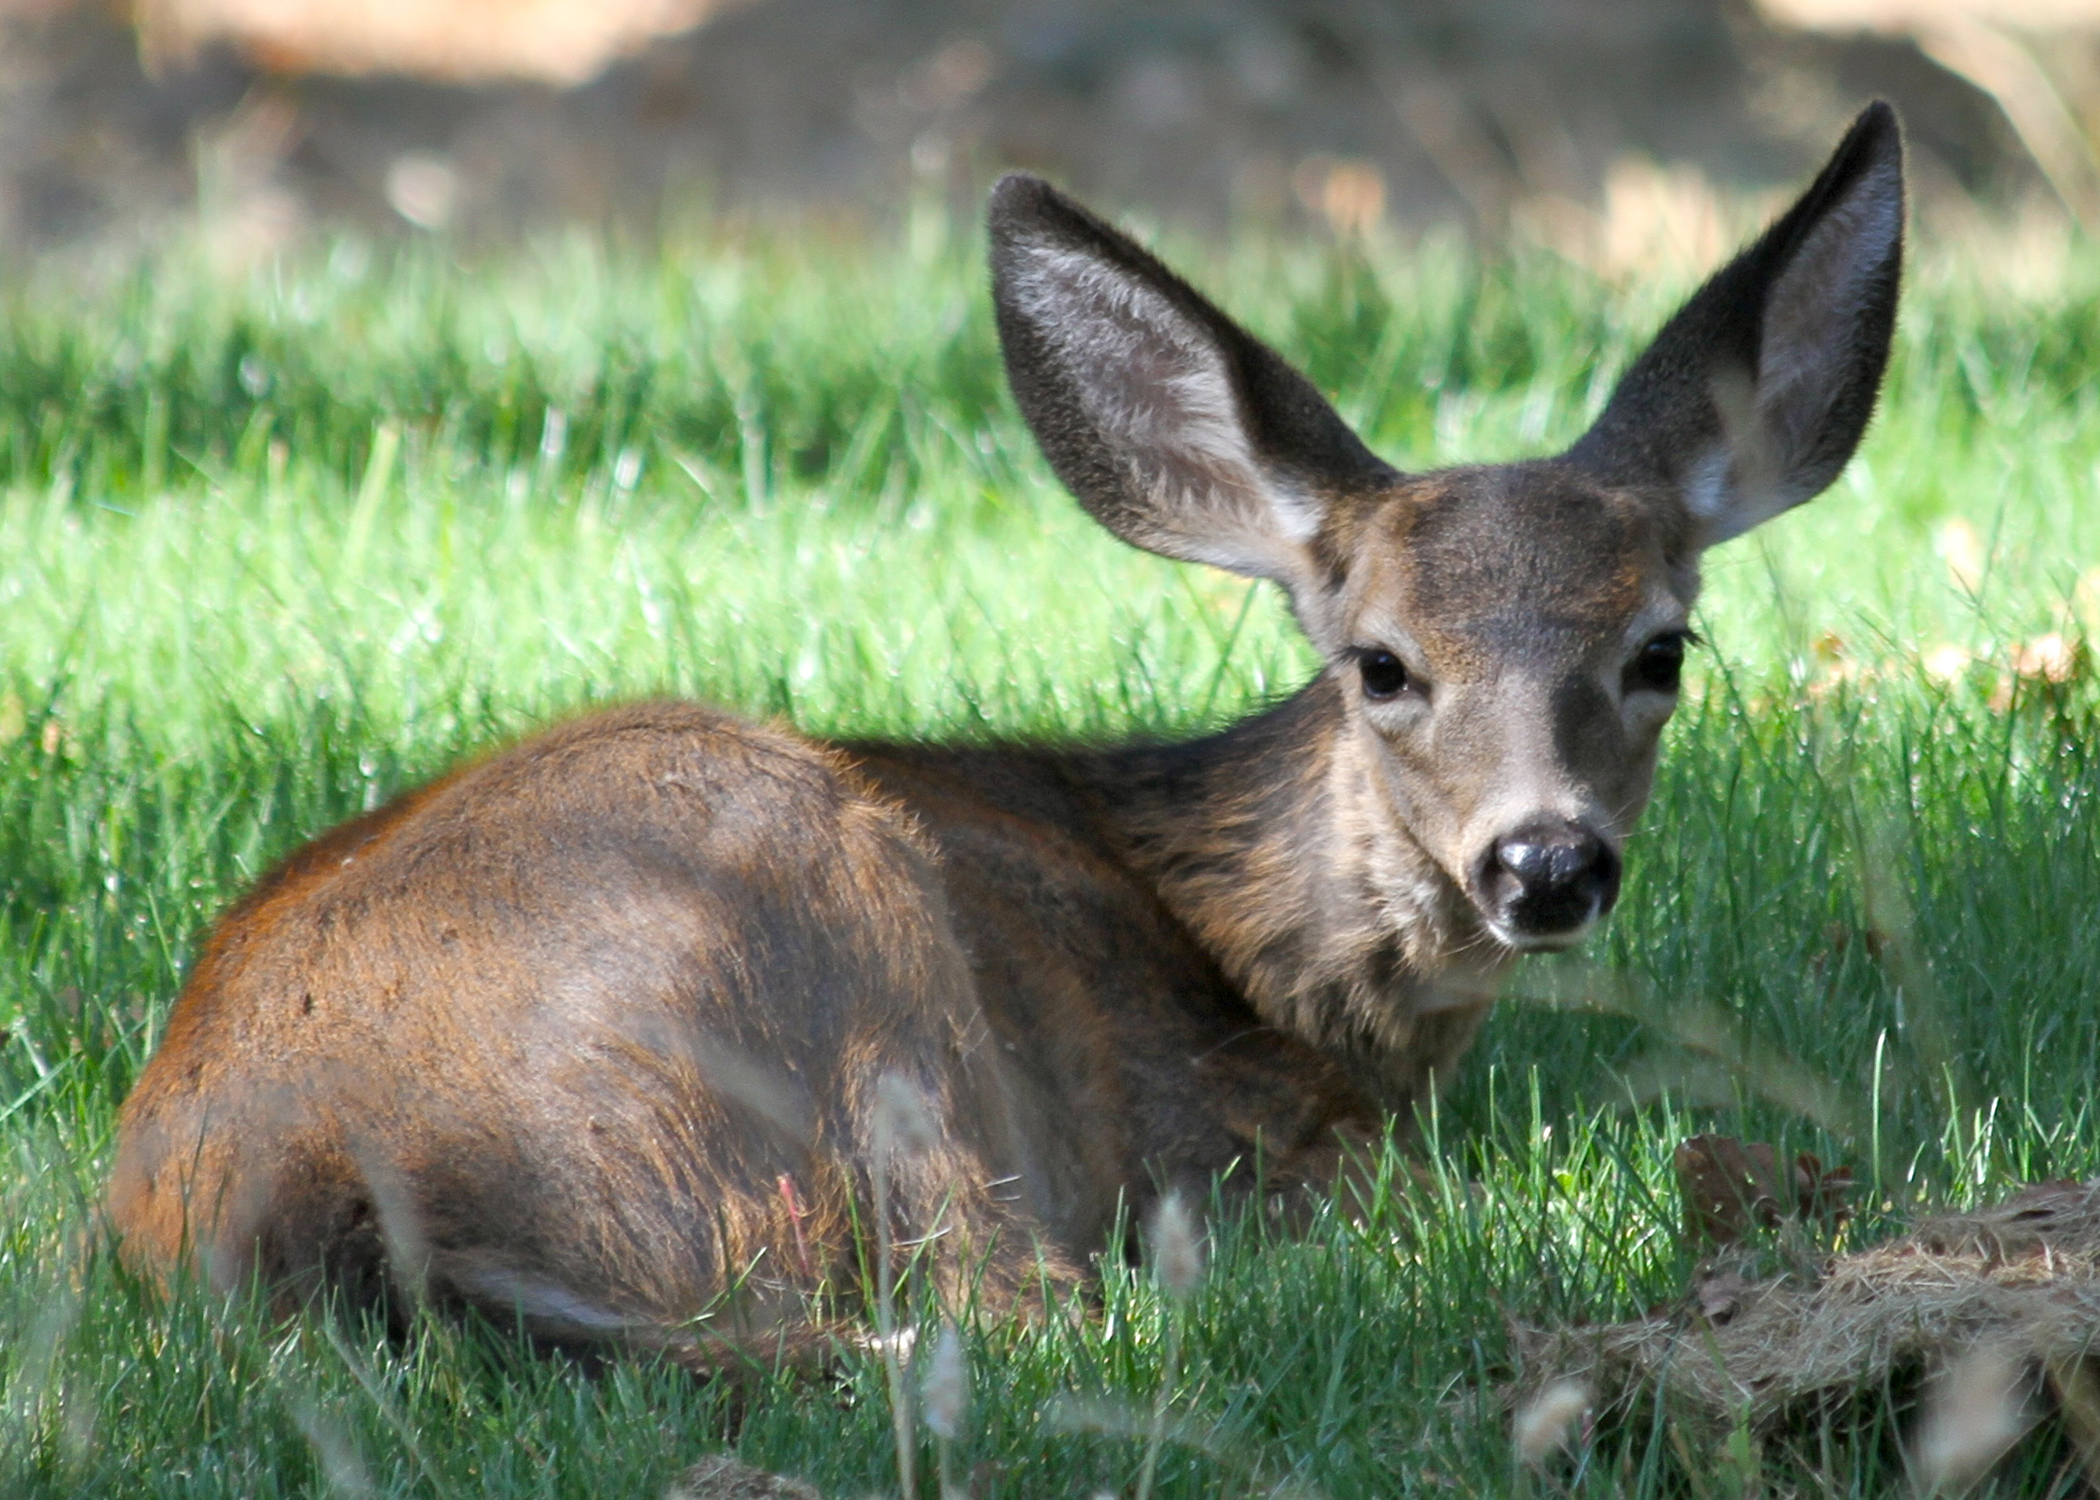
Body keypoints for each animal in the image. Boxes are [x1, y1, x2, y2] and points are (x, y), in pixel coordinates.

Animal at [110, 99, 1906, 1352]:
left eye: (1661, 647)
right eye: (1382, 665)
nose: (1544, 862)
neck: (1273, 973)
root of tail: (314, 1188)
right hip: (847, 966)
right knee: (993, 1306)